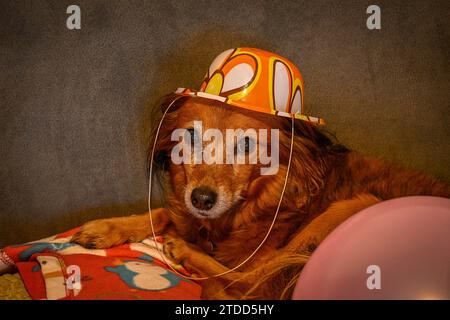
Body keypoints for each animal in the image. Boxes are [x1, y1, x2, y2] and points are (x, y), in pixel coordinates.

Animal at [72, 94, 448, 298]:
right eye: (189, 136)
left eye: (246, 144)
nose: (202, 199)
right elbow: (164, 213)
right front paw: (106, 228)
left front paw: (186, 246)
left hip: (352, 208)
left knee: (246, 282)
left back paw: (185, 251)